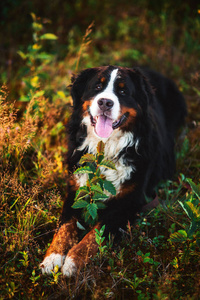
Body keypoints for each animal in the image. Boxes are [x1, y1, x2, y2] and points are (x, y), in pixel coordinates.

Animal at [39, 65, 187, 276]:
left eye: (123, 91)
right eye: (97, 86)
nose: (105, 102)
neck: (107, 147)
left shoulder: (129, 201)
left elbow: (96, 232)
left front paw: (73, 261)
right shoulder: (76, 189)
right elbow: (65, 226)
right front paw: (53, 257)